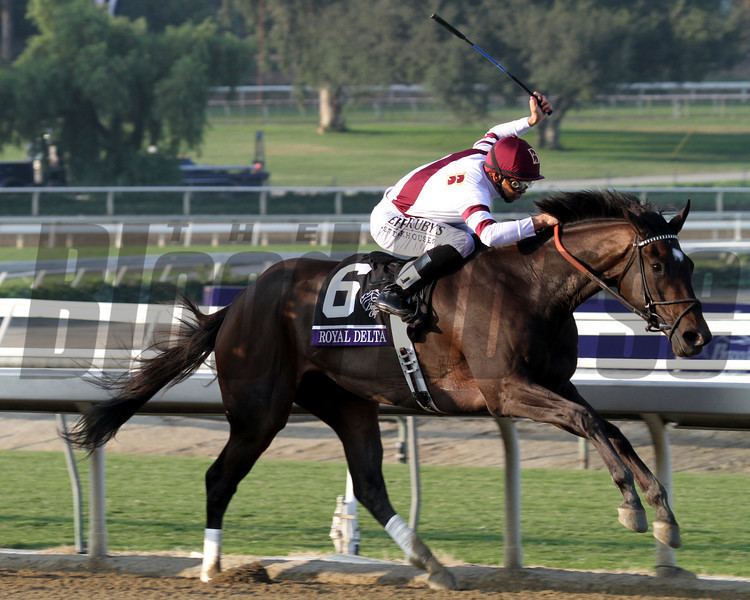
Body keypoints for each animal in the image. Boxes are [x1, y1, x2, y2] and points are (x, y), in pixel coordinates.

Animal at [66, 191, 712, 592]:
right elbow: (594, 425)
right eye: (659, 263)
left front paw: (662, 513)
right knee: (219, 477)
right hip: (260, 411)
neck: (530, 284)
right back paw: (211, 569)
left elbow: (613, 429)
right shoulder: (507, 390)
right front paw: (635, 509)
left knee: (372, 486)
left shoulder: (553, 382)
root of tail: (238, 305)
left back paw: (434, 566)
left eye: (690, 264)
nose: (696, 337)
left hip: (347, 404)